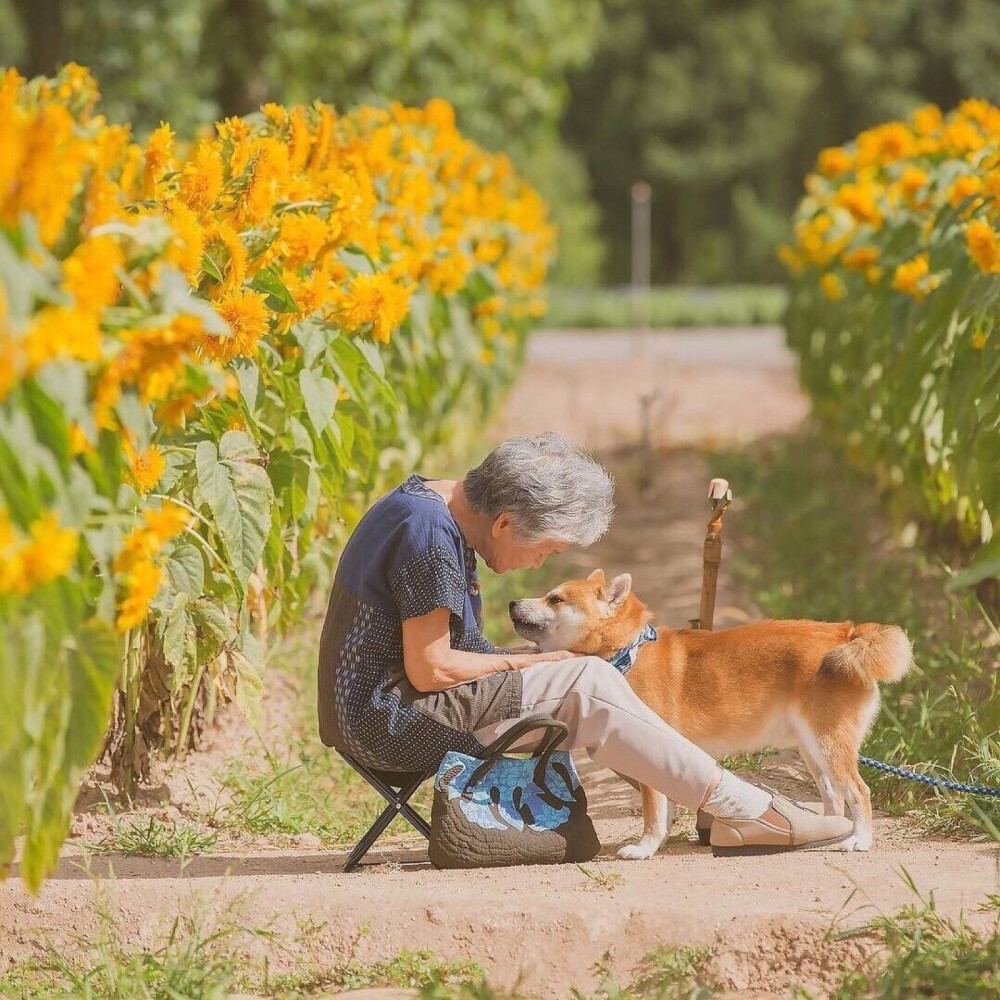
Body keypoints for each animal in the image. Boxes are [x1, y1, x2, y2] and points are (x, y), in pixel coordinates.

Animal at [512, 572, 912, 860]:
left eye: (555, 598)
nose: (513, 601)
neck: (628, 652)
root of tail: (845, 633)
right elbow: (666, 806)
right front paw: (662, 839)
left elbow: (653, 811)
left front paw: (644, 848)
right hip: (812, 750)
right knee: (834, 796)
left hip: (829, 744)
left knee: (858, 792)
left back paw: (859, 840)